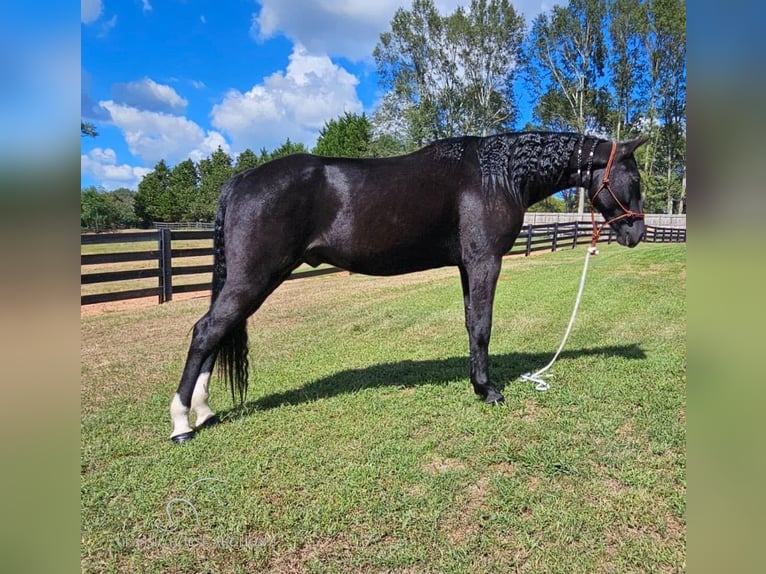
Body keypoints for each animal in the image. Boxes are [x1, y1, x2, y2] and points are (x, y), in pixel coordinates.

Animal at [170, 133, 648, 444]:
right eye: (636, 180)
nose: (638, 234)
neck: (495, 176)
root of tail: (242, 179)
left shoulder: (467, 266)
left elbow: (471, 324)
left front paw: (476, 383)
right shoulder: (484, 262)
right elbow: (483, 326)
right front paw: (489, 391)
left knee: (215, 333)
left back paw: (204, 413)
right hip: (254, 278)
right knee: (206, 331)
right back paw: (181, 424)